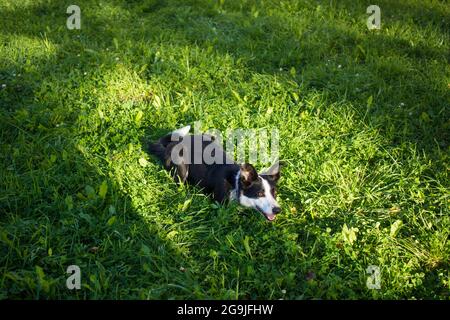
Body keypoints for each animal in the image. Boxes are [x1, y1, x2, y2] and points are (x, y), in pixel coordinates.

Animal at [148, 126, 282, 221]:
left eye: (274, 193)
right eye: (260, 193)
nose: (278, 210)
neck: (235, 184)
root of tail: (176, 142)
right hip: (182, 167)